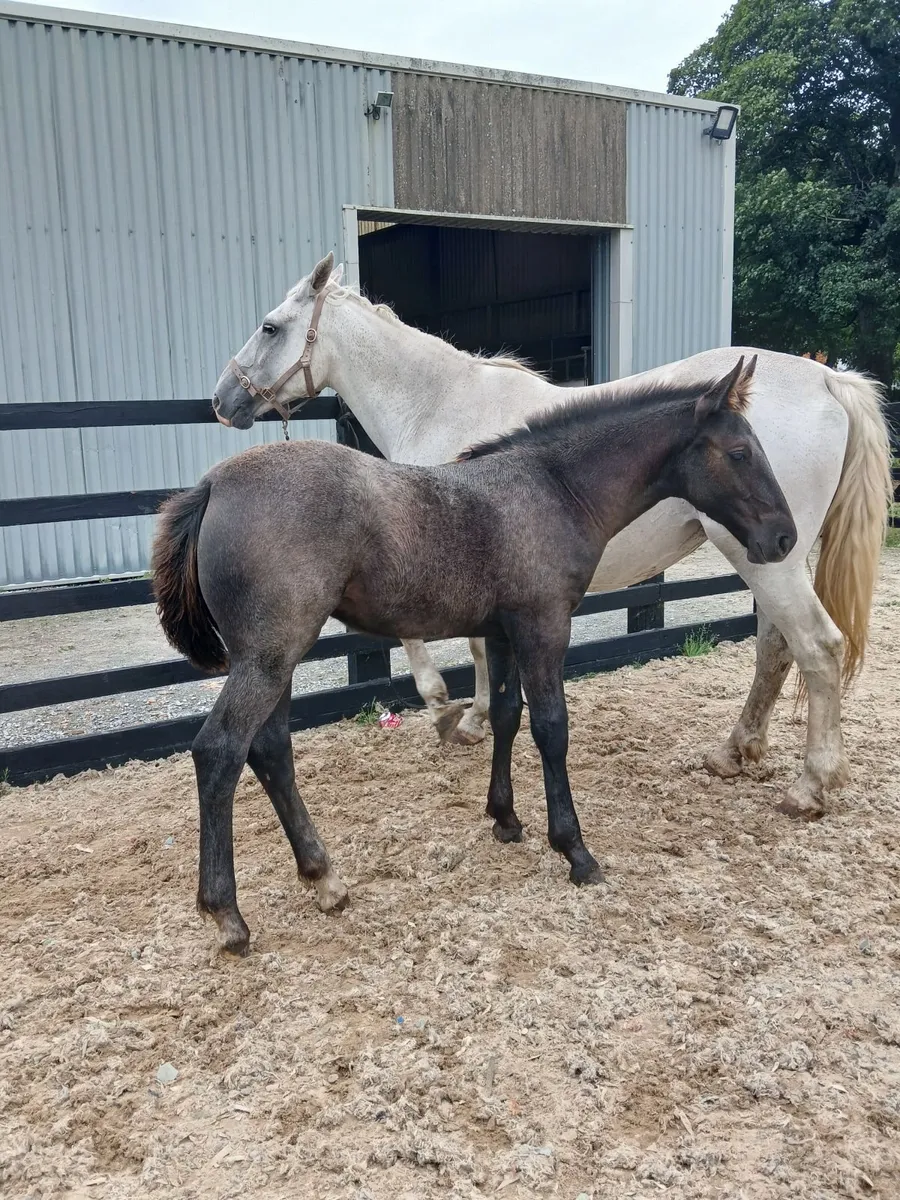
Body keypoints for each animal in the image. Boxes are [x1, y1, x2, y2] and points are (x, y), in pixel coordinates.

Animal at [152, 355, 797, 955]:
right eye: (740, 451)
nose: (784, 537)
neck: (554, 488)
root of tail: (214, 485)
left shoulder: (503, 631)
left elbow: (507, 715)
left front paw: (505, 819)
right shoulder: (543, 626)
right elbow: (551, 728)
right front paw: (575, 850)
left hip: (275, 657)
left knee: (270, 750)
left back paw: (324, 879)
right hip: (270, 654)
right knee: (220, 751)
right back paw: (228, 916)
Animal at [210, 254, 892, 821]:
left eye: (270, 327)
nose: (222, 400)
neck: (438, 402)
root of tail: (826, 380)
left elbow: (435, 643)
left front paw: (450, 713)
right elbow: (477, 648)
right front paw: (476, 716)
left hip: (767, 557)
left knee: (818, 647)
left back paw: (810, 785)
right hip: (769, 557)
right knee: (776, 649)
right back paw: (736, 752)